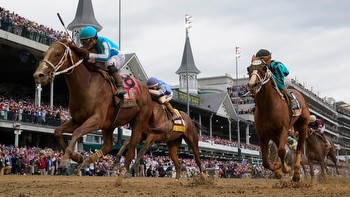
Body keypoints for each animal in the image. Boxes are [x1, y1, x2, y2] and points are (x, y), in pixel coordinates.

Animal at [33, 39, 153, 169]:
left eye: (58, 53)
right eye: (44, 55)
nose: (38, 75)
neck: (88, 85)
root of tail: (147, 91)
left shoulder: (97, 119)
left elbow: (77, 132)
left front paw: (66, 158)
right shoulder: (77, 120)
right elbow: (57, 132)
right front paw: (77, 157)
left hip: (138, 122)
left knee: (131, 150)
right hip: (109, 125)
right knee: (108, 145)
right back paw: (87, 161)